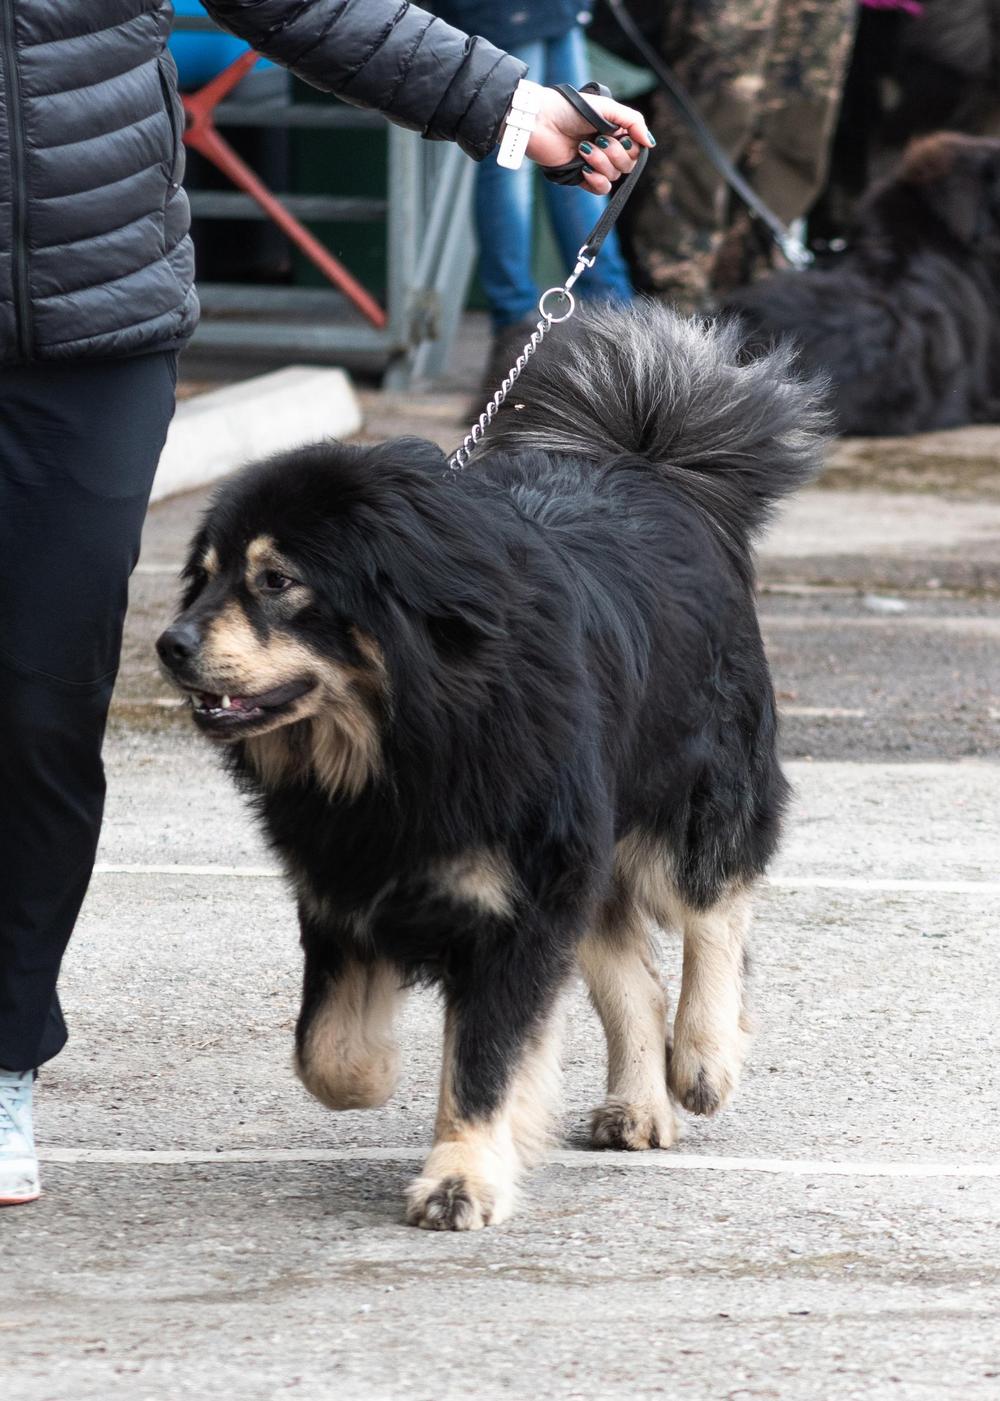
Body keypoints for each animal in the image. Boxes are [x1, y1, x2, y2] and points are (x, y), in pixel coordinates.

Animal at [157, 304, 826, 1230]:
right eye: (207, 574)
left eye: (278, 579)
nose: (169, 644)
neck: (409, 740)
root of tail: (650, 465)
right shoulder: (347, 883)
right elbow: (326, 1050)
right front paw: (375, 1074)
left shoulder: (519, 901)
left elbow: (483, 1060)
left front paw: (462, 1176)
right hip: (592, 858)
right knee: (637, 978)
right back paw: (637, 1105)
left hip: (686, 801)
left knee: (715, 906)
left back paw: (701, 1058)